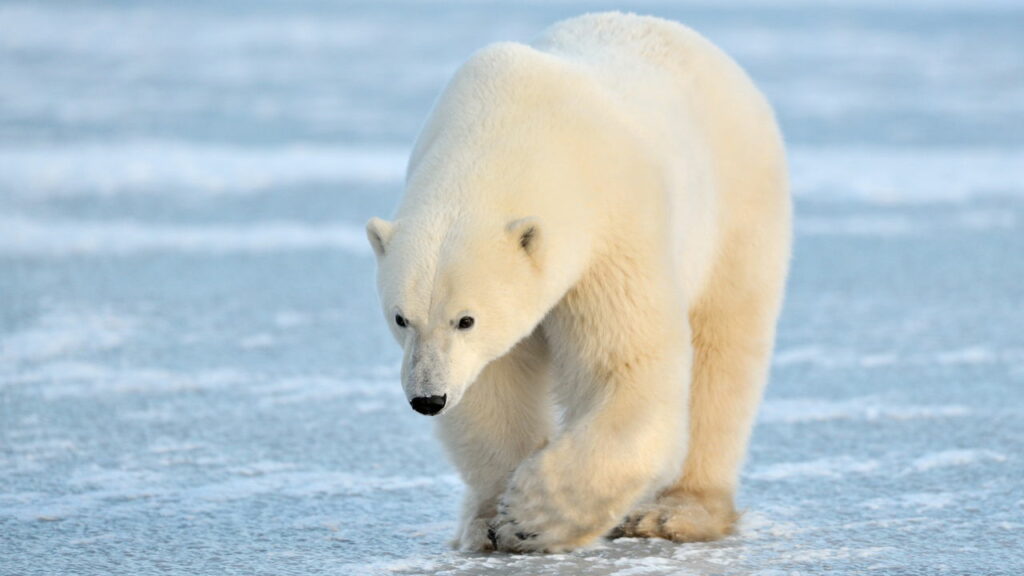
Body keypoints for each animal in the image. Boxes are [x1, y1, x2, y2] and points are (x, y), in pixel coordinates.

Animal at [366, 12, 791, 553]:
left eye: (466, 319)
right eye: (401, 318)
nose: (427, 398)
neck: (510, 127)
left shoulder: (611, 232)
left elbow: (627, 368)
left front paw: (531, 515)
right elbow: (491, 387)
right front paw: (491, 520)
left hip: (736, 211)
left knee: (724, 353)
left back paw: (676, 512)